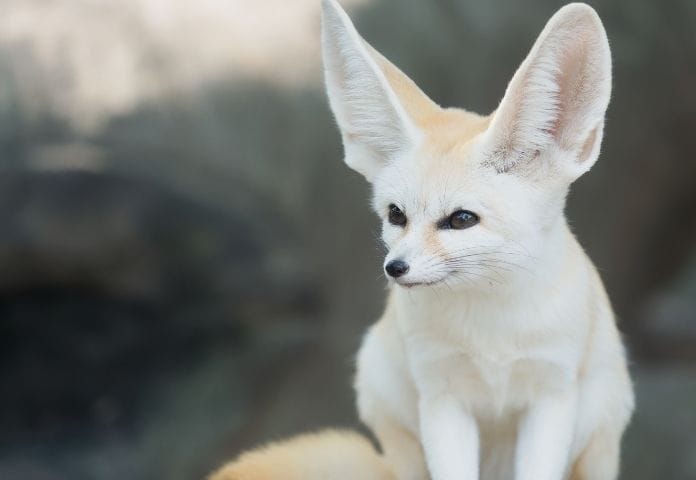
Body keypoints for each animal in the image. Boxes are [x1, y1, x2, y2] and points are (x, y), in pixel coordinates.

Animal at [210, 1, 634, 479]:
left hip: (600, 437)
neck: (491, 330)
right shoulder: (441, 398)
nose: (395, 268)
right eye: (396, 215)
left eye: (461, 219)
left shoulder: (551, 397)